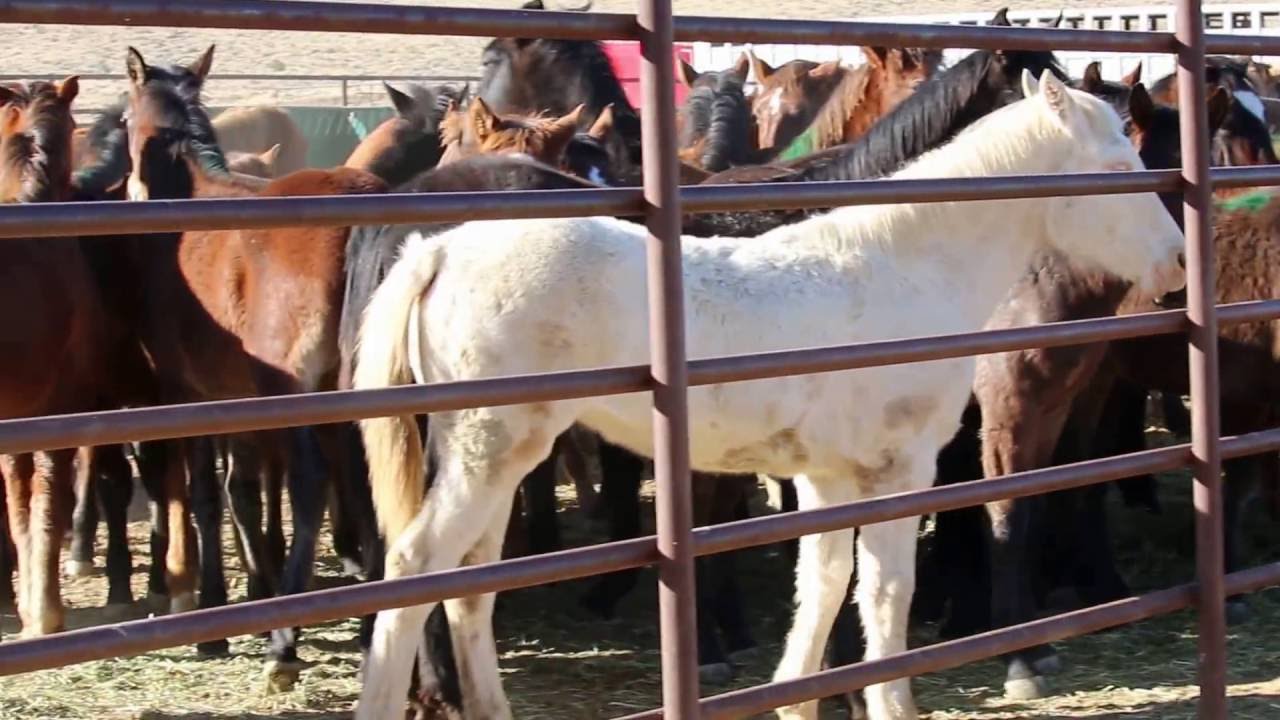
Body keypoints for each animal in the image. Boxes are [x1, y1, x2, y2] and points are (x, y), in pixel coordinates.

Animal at [352, 71, 1185, 720]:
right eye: (1117, 164)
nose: (1176, 261)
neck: (902, 263)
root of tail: (438, 248)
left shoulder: (828, 477)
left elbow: (823, 583)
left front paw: (800, 696)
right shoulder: (898, 471)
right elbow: (885, 591)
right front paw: (888, 701)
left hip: (494, 457)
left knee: (470, 583)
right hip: (489, 452)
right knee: (417, 564)